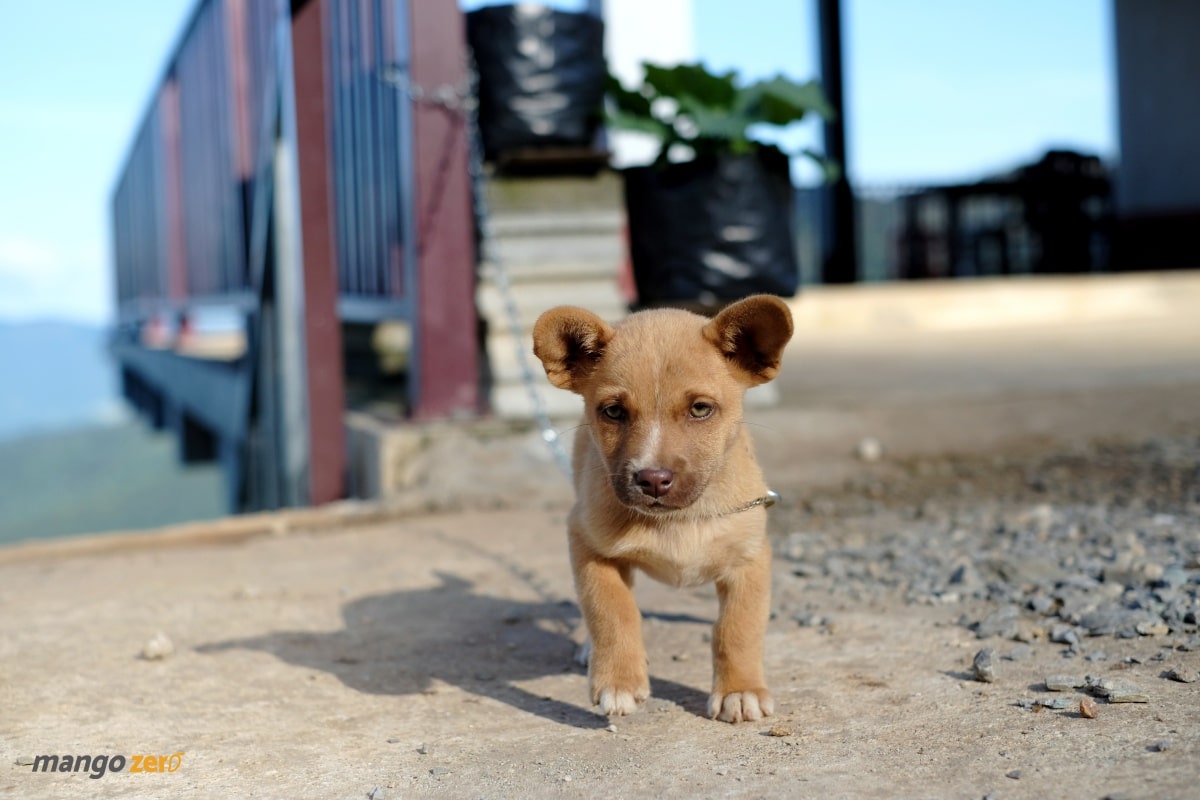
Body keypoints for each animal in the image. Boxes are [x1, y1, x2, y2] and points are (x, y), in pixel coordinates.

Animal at [530, 296, 792, 724]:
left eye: (700, 409)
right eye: (613, 412)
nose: (652, 479)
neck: (679, 520)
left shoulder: (750, 557)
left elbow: (737, 627)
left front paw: (740, 691)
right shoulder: (587, 543)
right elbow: (612, 610)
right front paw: (618, 682)